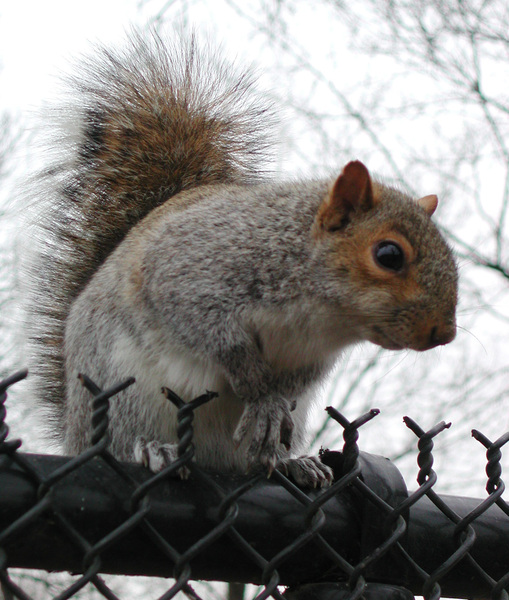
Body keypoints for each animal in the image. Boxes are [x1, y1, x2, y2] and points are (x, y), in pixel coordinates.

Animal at [25, 29, 458, 488]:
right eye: (389, 254)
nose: (444, 333)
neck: (321, 313)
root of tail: (74, 436)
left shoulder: (313, 355)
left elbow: (293, 384)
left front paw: (272, 404)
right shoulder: (192, 275)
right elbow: (218, 338)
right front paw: (257, 389)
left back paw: (291, 463)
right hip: (124, 390)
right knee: (124, 441)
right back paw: (153, 450)